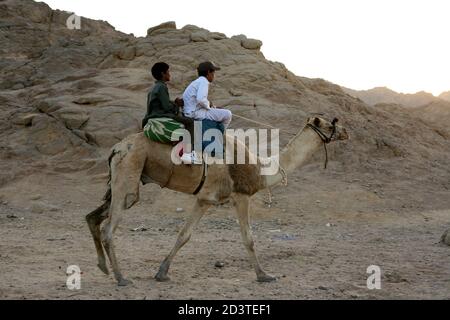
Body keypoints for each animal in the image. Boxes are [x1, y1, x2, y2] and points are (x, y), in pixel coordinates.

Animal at [86, 116, 350, 286]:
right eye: (330, 124)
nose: (346, 131)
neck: (262, 169)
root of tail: (117, 147)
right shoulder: (237, 196)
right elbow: (248, 239)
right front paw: (264, 275)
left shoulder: (207, 199)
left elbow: (184, 235)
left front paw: (161, 273)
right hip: (129, 173)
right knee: (109, 228)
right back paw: (121, 278)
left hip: (122, 179)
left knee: (92, 217)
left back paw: (103, 267)